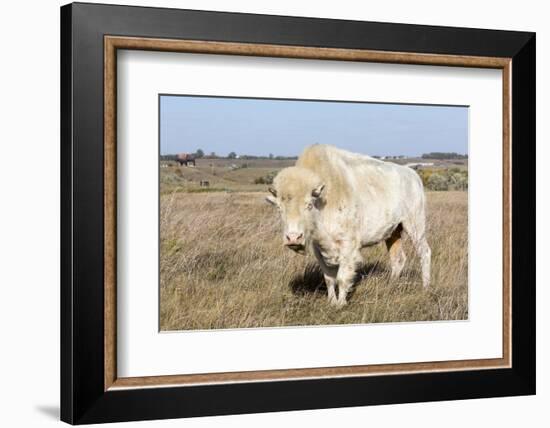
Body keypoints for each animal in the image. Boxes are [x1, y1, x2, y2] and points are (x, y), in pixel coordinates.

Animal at [268, 145, 432, 306]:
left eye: (308, 205)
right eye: (279, 208)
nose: (293, 238)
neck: (324, 200)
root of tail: (412, 175)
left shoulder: (348, 246)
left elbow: (342, 277)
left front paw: (341, 304)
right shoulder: (318, 248)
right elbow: (329, 278)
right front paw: (332, 302)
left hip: (415, 225)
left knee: (424, 252)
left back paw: (425, 287)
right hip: (393, 232)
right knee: (398, 259)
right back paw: (390, 286)